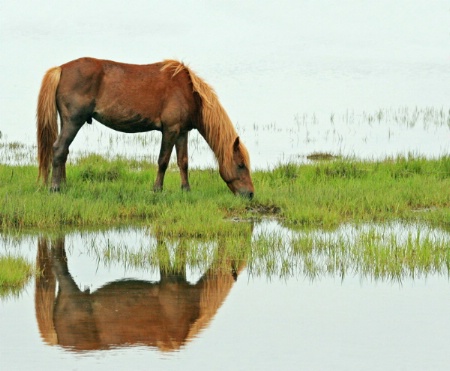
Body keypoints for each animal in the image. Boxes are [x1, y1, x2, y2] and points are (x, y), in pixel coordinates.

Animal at [36, 57, 253, 198]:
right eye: (241, 165)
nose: (250, 194)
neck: (188, 90)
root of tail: (60, 69)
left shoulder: (182, 132)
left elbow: (183, 162)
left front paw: (186, 190)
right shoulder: (170, 130)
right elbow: (163, 161)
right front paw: (157, 190)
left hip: (67, 122)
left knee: (64, 151)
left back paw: (63, 185)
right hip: (73, 121)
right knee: (59, 149)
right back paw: (55, 188)